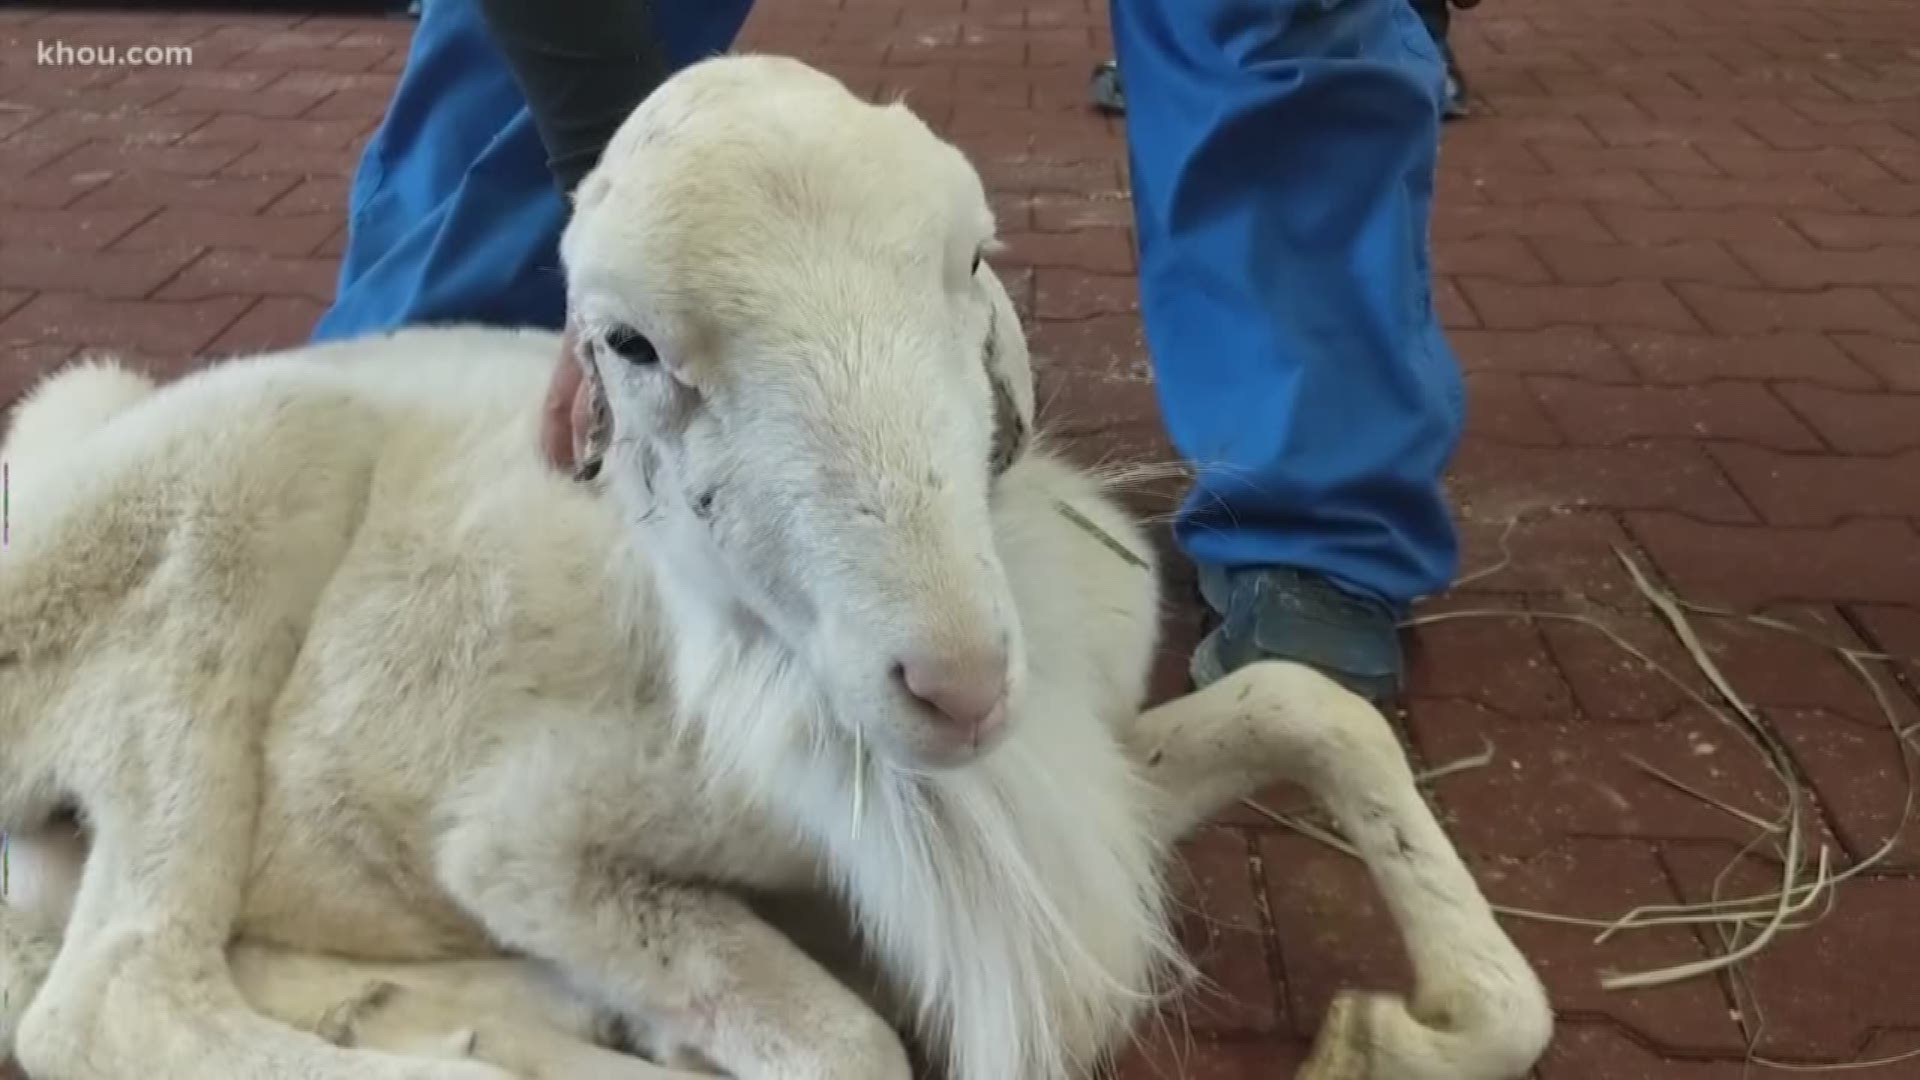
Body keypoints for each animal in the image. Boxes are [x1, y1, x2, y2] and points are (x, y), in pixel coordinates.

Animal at [0, 54, 1543, 1076]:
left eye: (970, 260)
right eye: (628, 343)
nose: (954, 683)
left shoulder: (1070, 784)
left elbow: (1311, 708)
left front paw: (1409, 1027)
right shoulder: (530, 841)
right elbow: (847, 1047)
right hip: (230, 499)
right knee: (111, 999)